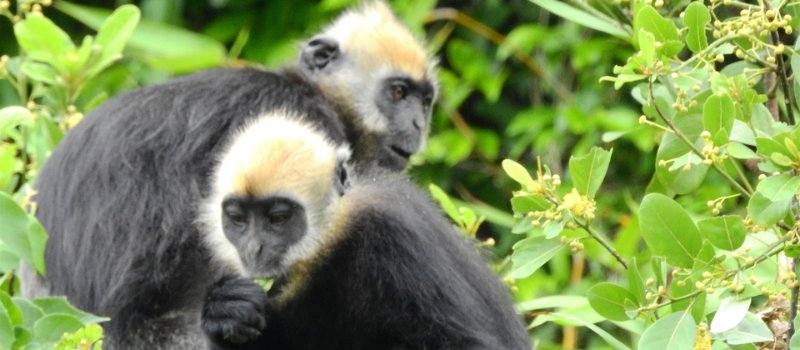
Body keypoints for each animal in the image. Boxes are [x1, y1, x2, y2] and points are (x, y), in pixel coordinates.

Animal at [198, 114, 532, 348]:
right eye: (238, 219)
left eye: (278, 218)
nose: (254, 249)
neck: (330, 241)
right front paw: (226, 310)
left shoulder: (392, 234)